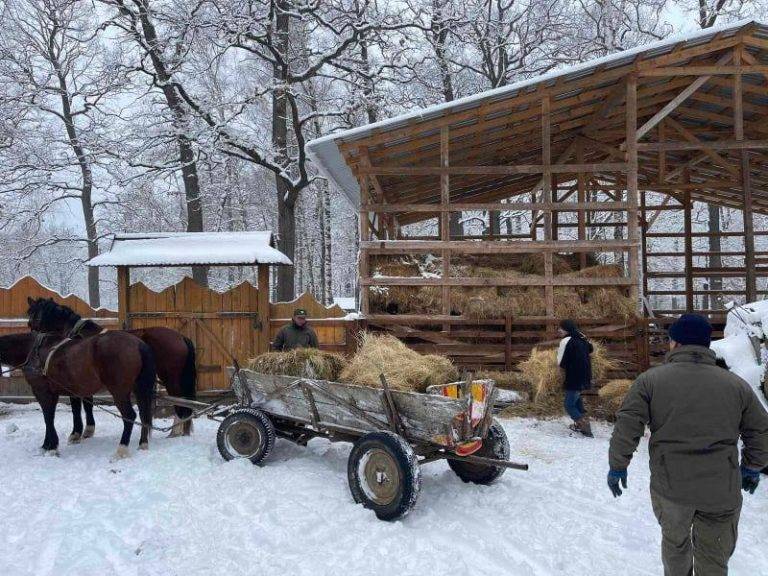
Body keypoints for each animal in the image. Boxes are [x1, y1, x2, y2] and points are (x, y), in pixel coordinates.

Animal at [23, 328, 154, 460]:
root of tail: (138, 344)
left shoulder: (42, 392)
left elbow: (48, 418)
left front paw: (51, 447)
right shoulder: (61, 393)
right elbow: (55, 416)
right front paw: (49, 444)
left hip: (119, 393)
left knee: (130, 416)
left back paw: (121, 450)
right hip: (138, 389)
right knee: (143, 415)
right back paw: (143, 444)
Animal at [27, 296, 198, 436]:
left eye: (32, 314)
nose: (31, 329)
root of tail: (181, 337)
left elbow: (84, 405)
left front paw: (83, 431)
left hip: (170, 378)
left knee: (180, 401)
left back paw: (175, 431)